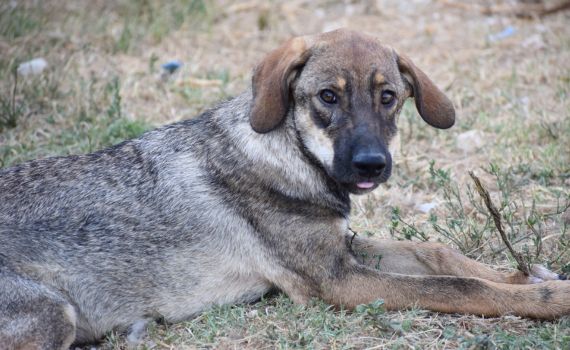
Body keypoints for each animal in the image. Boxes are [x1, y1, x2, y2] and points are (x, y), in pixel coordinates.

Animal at [1, 29, 568, 348]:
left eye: (388, 96)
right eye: (327, 97)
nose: (371, 164)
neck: (293, 154)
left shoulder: (342, 248)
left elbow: (440, 255)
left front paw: (531, 277)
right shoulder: (337, 282)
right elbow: (460, 287)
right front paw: (546, 299)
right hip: (52, 316)